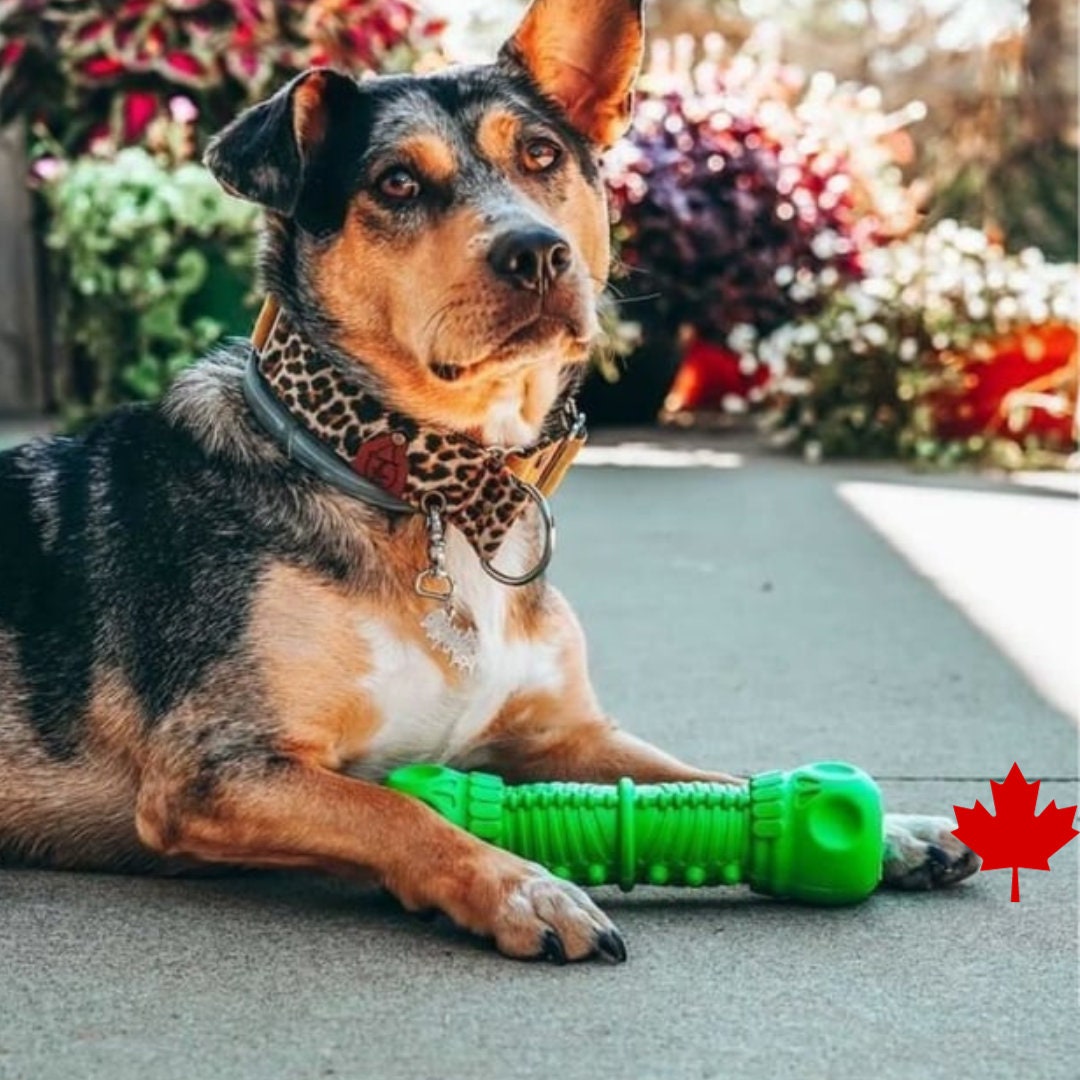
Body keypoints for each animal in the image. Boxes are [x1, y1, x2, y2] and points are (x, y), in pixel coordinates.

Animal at [0, 0, 980, 963]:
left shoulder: (567, 734)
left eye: (541, 155)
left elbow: (712, 776)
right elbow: (398, 810)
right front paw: (522, 886)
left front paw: (892, 827)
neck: (432, 489)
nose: (538, 253)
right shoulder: (214, 769)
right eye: (397, 183)